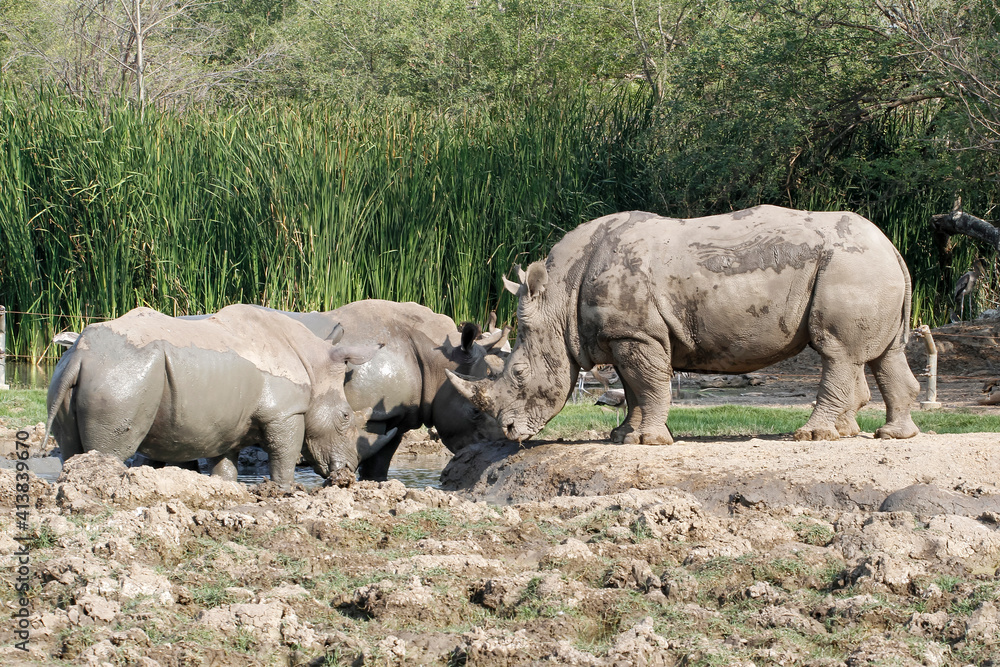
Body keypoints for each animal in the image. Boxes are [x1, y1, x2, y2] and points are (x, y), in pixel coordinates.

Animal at [44, 305, 396, 487]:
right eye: (345, 417)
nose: (347, 474)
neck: (313, 364)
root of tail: (80, 354)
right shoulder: (285, 412)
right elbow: (284, 454)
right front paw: (283, 491)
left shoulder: (226, 418)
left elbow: (225, 460)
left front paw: (223, 487)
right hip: (123, 377)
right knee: (112, 449)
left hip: (78, 373)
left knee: (70, 448)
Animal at [276, 300, 508, 480]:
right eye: (475, 411)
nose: (494, 453)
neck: (435, 361)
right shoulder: (373, 413)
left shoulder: (397, 413)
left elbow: (381, 460)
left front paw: (376, 483)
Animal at [448, 206, 921, 444]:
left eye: (519, 373)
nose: (507, 432)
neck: (558, 299)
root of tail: (891, 245)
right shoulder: (627, 333)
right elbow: (632, 387)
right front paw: (623, 437)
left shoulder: (635, 333)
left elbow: (649, 383)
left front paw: (651, 442)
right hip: (866, 268)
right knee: (884, 354)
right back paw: (890, 436)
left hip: (850, 267)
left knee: (836, 352)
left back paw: (813, 436)